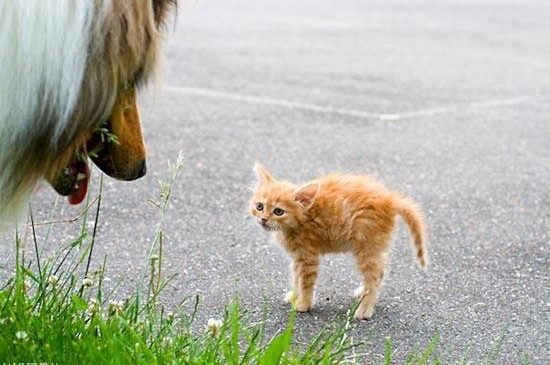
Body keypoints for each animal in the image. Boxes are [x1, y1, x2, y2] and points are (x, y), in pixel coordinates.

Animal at [249, 163, 426, 318]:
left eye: (278, 211)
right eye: (260, 207)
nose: (263, 219)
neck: (301, 220)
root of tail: (390, 199)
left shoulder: (308, 257)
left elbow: (306, 282)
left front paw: (303, 304)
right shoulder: (297, 257)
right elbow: (295, 277)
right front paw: (294, 295)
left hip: (366, 245)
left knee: (374, 275)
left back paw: (365, 309)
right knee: (381, 271)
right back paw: (362, 293)